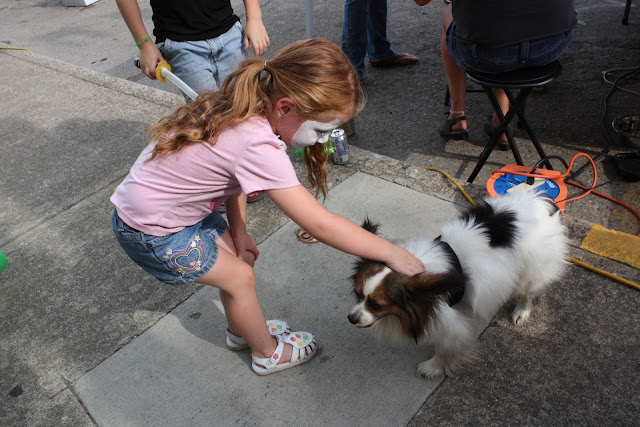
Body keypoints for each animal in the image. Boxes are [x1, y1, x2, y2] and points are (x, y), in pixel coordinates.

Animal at [348, 190, 568, 378]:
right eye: (357, 294)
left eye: (377, 305)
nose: (351, 318)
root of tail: (539, 199)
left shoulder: (450, 324)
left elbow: (446, 348)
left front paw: (433, 367)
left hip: (533, 267)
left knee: (528, 290)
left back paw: (521, 311)